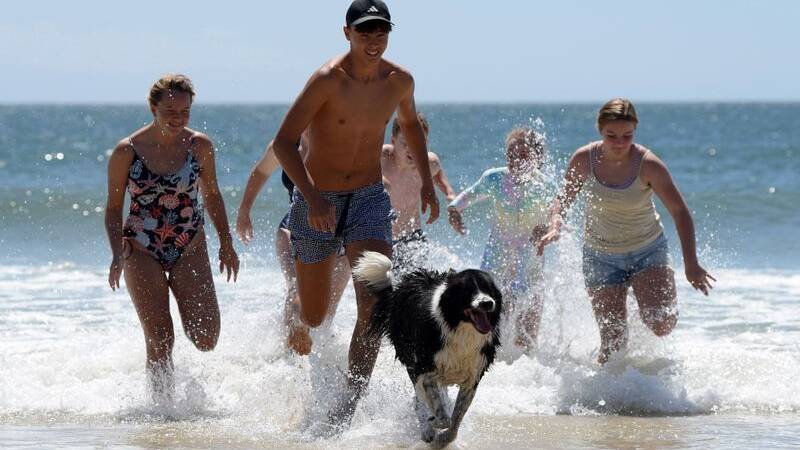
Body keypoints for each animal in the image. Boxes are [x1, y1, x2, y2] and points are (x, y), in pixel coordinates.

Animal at [353, 251, 503, 448]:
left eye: (489, 289)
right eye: (468, 291)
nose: (487, 303)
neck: (459, 328)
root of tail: (399, 290)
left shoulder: (472, 377)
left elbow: (455, 419)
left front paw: (443, 440)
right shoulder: (425, 369)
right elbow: (442, 414)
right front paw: (432, 425)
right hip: (410, 359)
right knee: (419, 399)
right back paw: (426, 427)